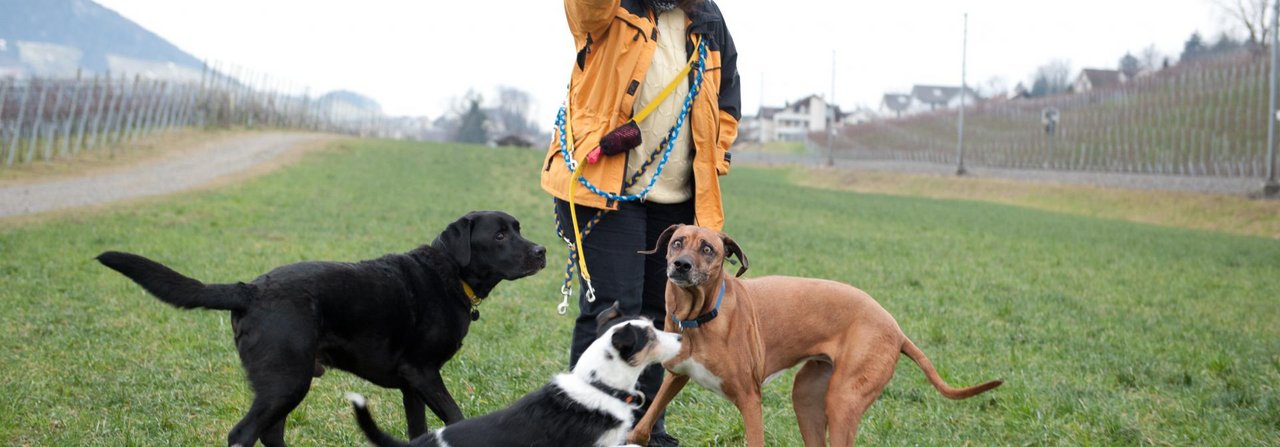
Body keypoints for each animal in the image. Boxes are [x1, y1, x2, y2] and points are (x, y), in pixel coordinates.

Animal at [94, 210, 542, 445]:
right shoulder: (424, 373)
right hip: (287, 381)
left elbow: (418, 429)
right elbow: (455, 415)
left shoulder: (411, 384)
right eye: (499, 234)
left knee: (269, 434)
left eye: (518, 228)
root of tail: (250, 289)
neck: (450, 272)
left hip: (280, 385)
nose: (542, 251)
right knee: (242, 434)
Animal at [627, 224, 998, 445]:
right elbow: (643, 425)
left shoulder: (750, 399)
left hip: (843, 399)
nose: (681, 265)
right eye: (677, 243)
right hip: (807, 395)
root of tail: (895, 327)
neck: (699, 319)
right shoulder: (676, 376)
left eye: (708, 249)